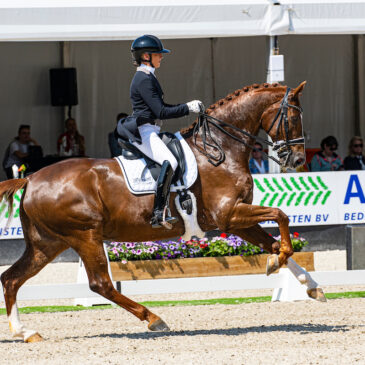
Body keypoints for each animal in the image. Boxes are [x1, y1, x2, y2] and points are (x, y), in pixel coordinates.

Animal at [0, 80, 318, 342]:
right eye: (293, 117)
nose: (297, 160)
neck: (221, 149)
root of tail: (31, 178)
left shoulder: (236, 219)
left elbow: (274, 241)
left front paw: (309, 284)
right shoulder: (229, 214)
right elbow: (281, 215)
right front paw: (276, 264)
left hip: (48, 243)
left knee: (12, 278)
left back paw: (25, 332)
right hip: (84, 235)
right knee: (101, 284)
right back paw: (154, 319)